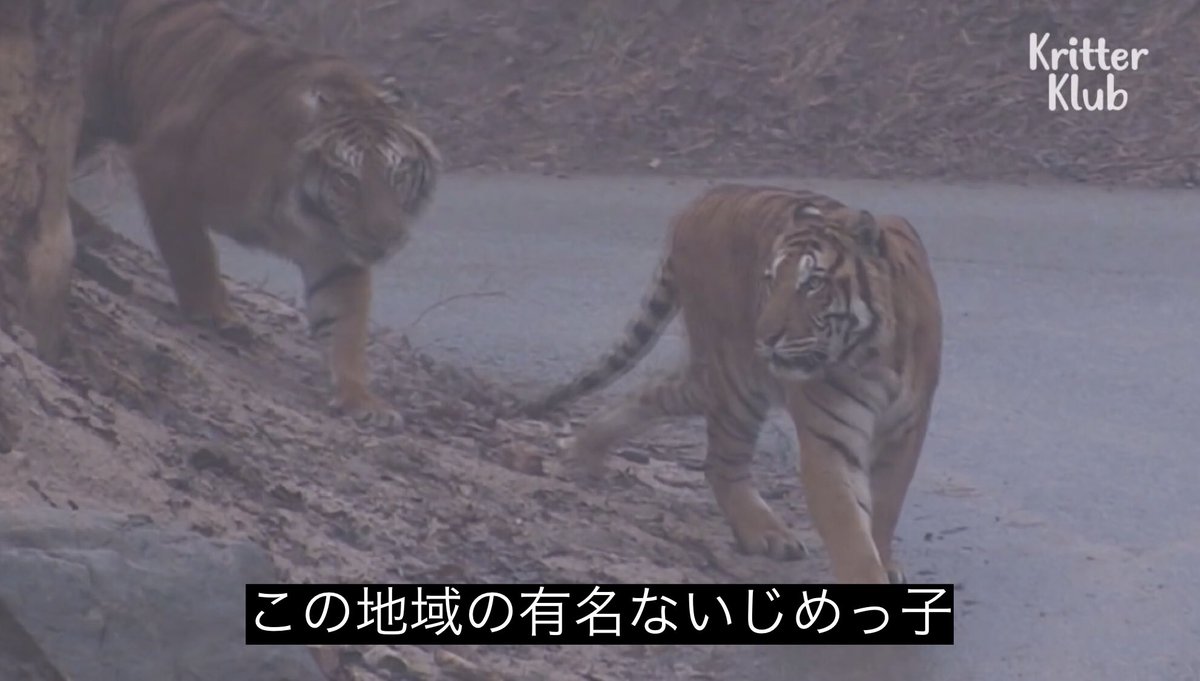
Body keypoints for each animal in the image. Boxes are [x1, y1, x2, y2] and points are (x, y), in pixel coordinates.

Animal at [74, 0, 441, 423]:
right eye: (347, 180)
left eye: (397, 175)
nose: (386, 238)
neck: (304, 213)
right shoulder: (164, 166)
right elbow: (193, 254)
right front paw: (214, 313)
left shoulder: (336, 251)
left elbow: (346, 322)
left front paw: (360, 399)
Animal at [524, 184, 943, 584]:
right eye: (771, 279)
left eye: (812, 284)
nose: (765, 337)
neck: (873, 354)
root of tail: (700, 200)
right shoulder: (829, 438)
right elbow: (848, 527)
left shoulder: (906, 431)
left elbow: (885, 509)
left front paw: (885, 560)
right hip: (736, 383)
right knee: (721, 463)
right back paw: (767, 533)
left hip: (718, 380)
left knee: (656, 391)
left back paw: (587, 448)